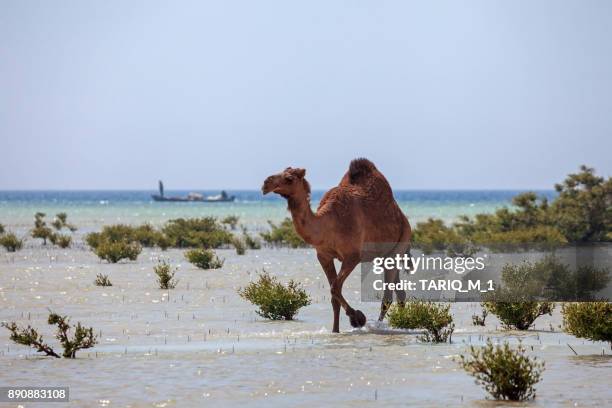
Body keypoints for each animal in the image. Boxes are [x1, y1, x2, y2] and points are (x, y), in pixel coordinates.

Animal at [262, 158, 412, 334]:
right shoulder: (323, 256)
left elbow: (335, 288)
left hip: (400, 243)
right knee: (399, 292)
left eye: (289, 178)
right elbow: (334, 296)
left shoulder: (353, 256)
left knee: (387, 296)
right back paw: (402, 323)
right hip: (386, 256)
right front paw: (335, 330)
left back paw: (380, 326)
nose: (265, 184)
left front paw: (358, 318)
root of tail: (402, 217)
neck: (329, 222)